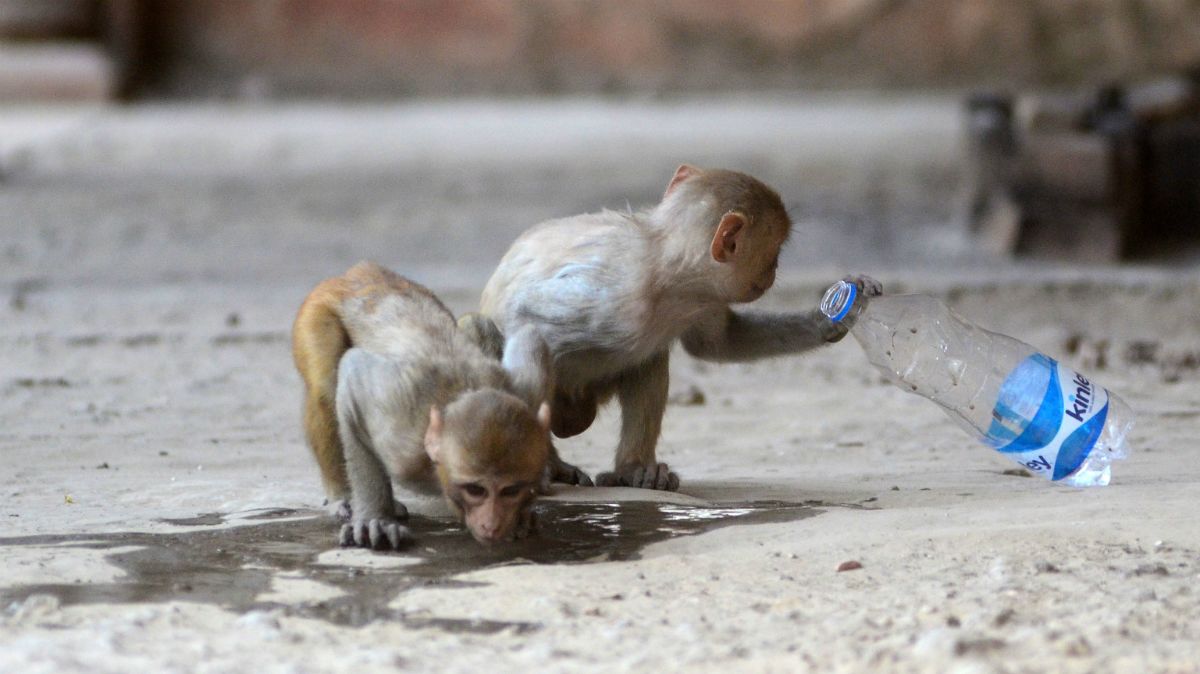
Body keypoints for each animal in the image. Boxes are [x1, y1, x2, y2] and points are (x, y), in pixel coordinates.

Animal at [290, 260, 552, 549]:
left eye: (511, 490)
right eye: (476, 490)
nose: (492, 524)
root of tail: (361, 272)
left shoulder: (527, 390)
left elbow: (532, 336)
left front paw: (525, 510)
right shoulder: (402, 444)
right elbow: (353, 372)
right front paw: (374, 519)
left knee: (477, 325)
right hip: (317, 309)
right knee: (325, 386)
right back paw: (344, 495)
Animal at [475, 163, 883, 486]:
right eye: (775, 253)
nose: (772, 272)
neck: (669, 275)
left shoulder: (704, 297)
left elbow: (717, 343)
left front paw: (832, 316)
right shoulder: (617, 295)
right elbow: (528, 321)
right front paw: (549, 468)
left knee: (649, 358)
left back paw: (634, 469)